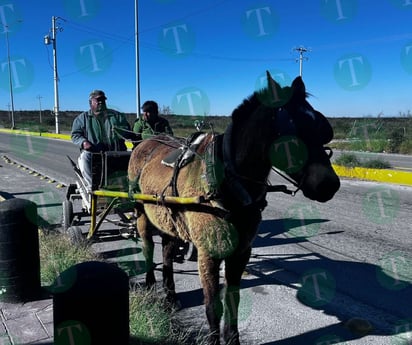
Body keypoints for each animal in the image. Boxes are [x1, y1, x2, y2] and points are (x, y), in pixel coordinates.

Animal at [129, 71, 342, 342]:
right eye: (292, 134)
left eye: (322, 129)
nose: (329, 184)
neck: (229, 178)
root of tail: (144, 144)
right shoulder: (208, 253)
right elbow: (212, 305)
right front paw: (213, 339)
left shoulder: (241, 252)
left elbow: (233, 299)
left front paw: (232, 338)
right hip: (141, 213)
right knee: (147, 248)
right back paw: (149, 284)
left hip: (169, 219)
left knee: (166, 251)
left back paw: (171, 295)